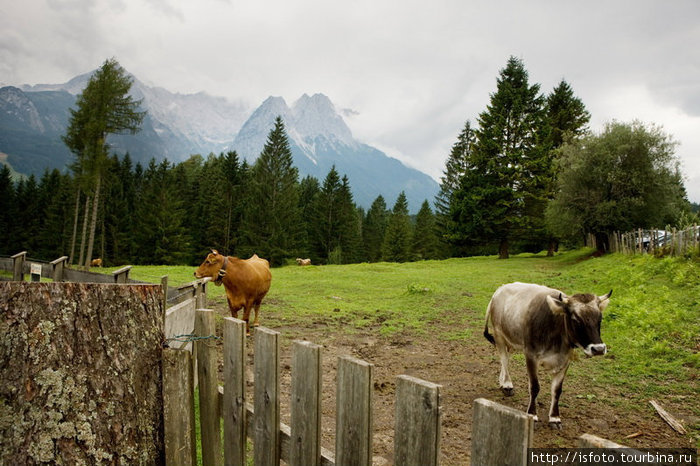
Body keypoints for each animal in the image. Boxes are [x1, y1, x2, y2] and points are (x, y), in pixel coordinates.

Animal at [484, 282, 608, 428]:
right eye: (575, 319)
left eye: (599, 319)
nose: (598, 349)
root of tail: (499, 290)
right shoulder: (530, 355)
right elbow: (534, 387)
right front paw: (532, 414)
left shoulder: (565, 360)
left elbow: (557, 390)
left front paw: (554, 417)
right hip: (499, 335)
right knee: (504, 360)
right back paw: (507, 384)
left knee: (505, 359)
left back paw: (502, 381)